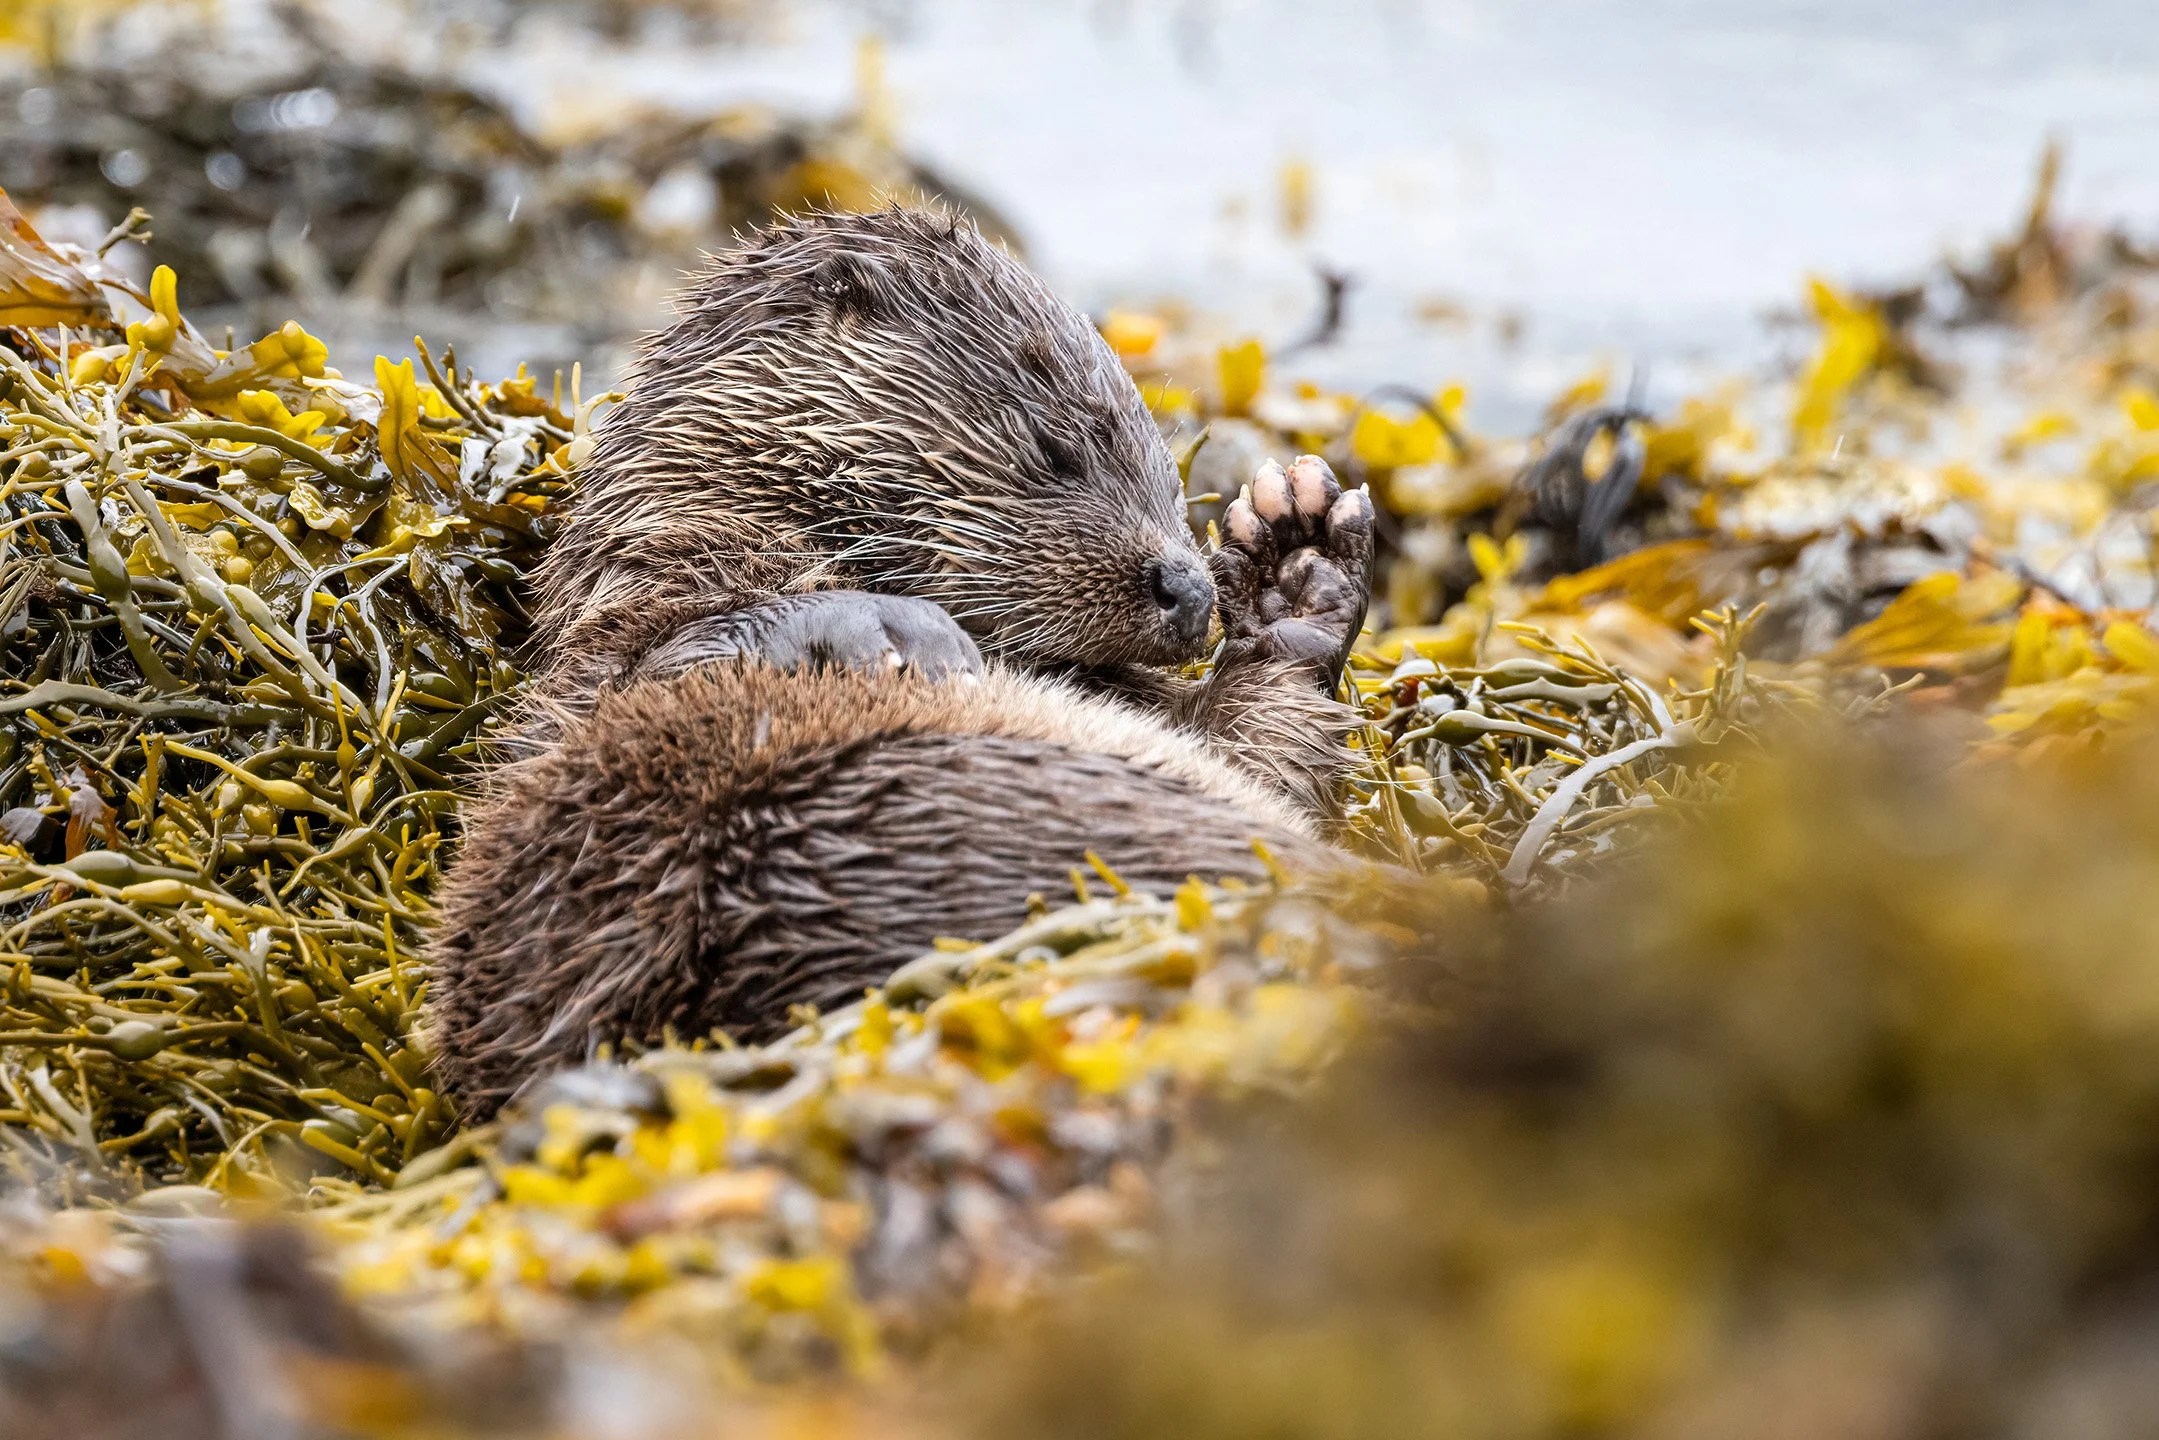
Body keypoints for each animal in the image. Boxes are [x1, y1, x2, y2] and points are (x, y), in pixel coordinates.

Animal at [428, 207, 1376, 1116]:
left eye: (1169, 474)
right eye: (1057, 450)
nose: (1187, 587)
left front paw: (1295, 553)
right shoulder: (618, 644)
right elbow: (667, 654)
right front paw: (891, 627)